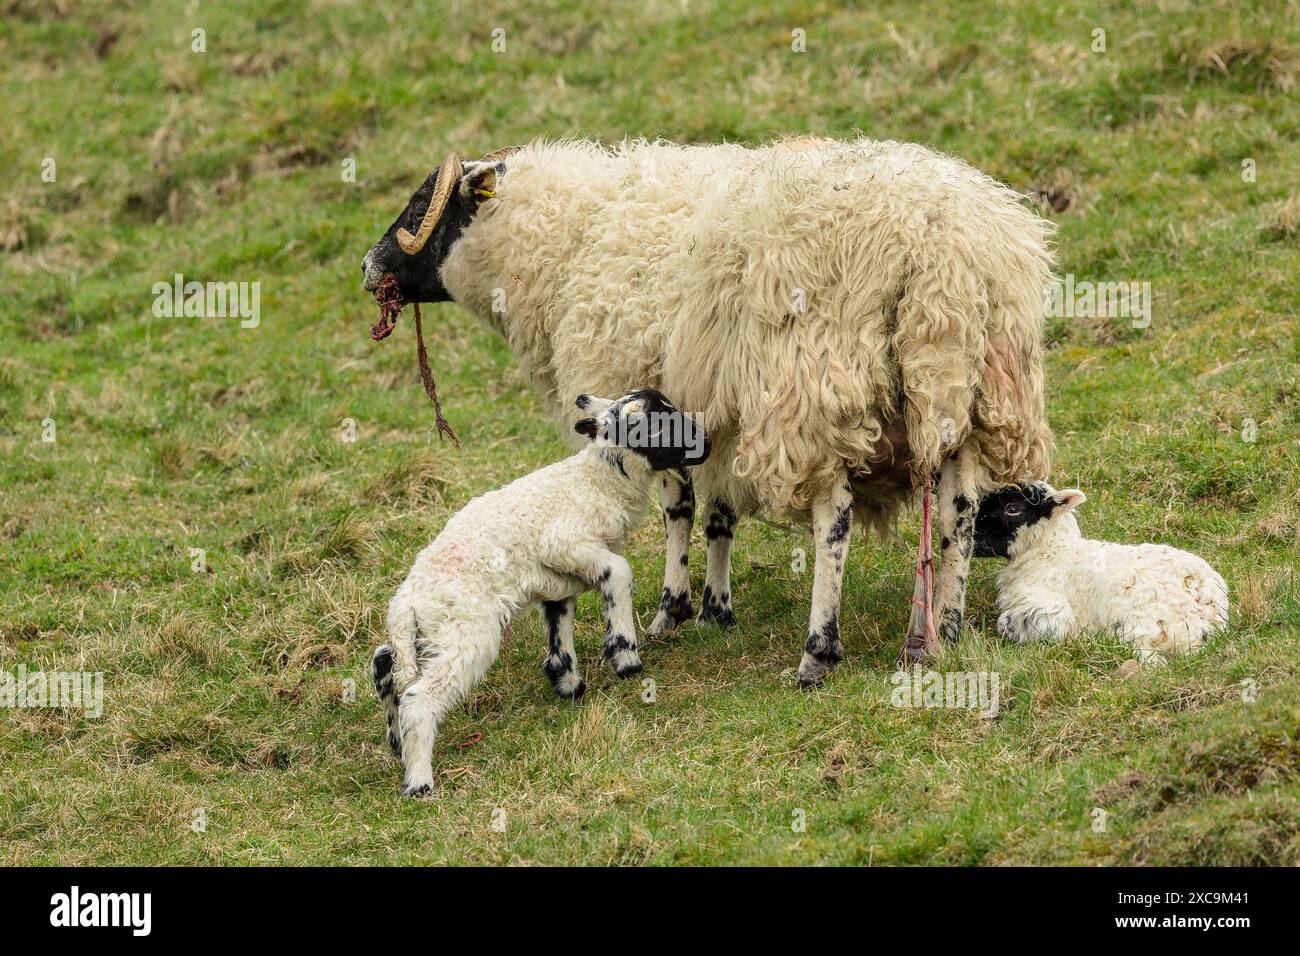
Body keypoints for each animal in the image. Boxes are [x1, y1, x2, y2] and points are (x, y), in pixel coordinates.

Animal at [358, 138, 1055, 686]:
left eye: (421, 206)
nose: (367, 267)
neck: (565, 239)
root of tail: (942, 249)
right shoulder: (713, 412)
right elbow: (718, 508)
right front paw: (718, 606)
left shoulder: (640, 390)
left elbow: (678, 504)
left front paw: (672, 609)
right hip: (975, 393)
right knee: (958, 512)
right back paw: (946, 627)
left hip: (813, 390)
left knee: (835, 521)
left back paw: (818, 650)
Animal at [366, 390, 712, 801]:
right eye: (659, 423)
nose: (707, 444)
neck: (598, 484)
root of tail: (407, 601)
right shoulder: (567, 543)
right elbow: (620, 573)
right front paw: (625, 657)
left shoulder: (559, 579)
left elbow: (560, 624)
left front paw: (568, 682)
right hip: (466, 632)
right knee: (419, 699)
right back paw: (419, 780)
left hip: (428, 633)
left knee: (385, 665)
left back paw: (398, 744)